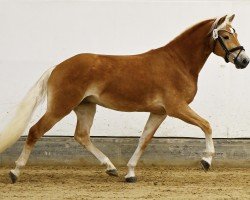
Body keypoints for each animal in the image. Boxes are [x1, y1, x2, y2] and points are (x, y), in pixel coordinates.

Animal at [0, 13, 249, 183]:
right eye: (226, 35)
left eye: (235, 32)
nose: (243, 60)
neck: (177, 62)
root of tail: (57, 67)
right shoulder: (176, 108)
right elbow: (207, 125)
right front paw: (206, 161)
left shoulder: (159, 112)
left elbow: (144, 140)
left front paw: (130, 173)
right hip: (60, 107)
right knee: (35, 131)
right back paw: (15, 172)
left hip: (85, 107)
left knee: (82, 136)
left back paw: (110, 167)